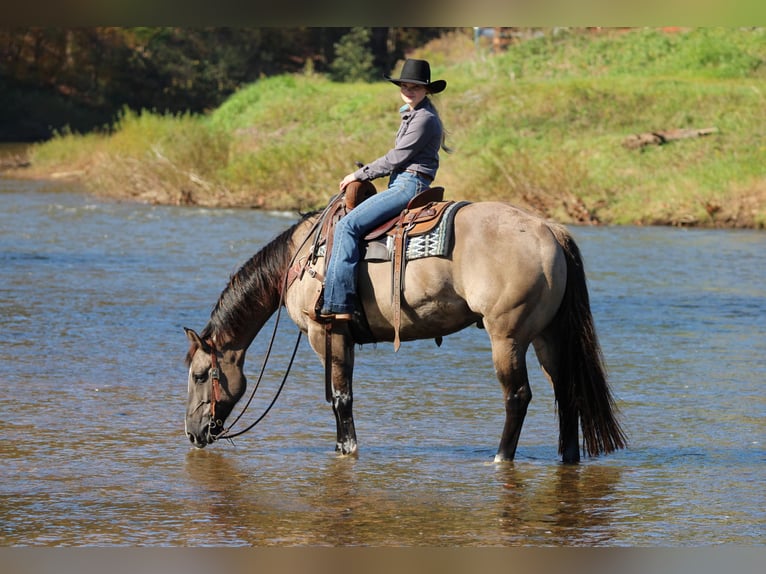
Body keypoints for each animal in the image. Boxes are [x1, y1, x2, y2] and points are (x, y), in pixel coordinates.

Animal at [184, 200, 626, 463]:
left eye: (201, 375)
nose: (192, 433)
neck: (302, 260)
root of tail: (550, 230)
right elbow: (340, 397)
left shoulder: (326, 336)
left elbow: (340, 397)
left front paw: (345, 448)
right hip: (546, 335)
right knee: (566, 391)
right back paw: (568, 457)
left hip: (508, 337)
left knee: (517, 396)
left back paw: (501, 457)